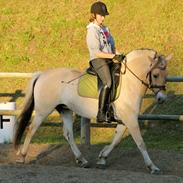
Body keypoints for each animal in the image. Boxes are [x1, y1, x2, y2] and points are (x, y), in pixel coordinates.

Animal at [13, 48, 172, 174]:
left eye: (166, 75)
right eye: (155, 74)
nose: (162, 99)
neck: (129, 83)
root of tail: (42, 74)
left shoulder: (125, 119)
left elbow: (116, 140)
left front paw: (102, 157)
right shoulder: (130, 119)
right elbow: (140, 143)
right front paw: (152, 167)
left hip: (65, 110)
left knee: (68, 134)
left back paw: (82, 160)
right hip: (43, 110)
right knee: (31, 129)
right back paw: (22, 156)